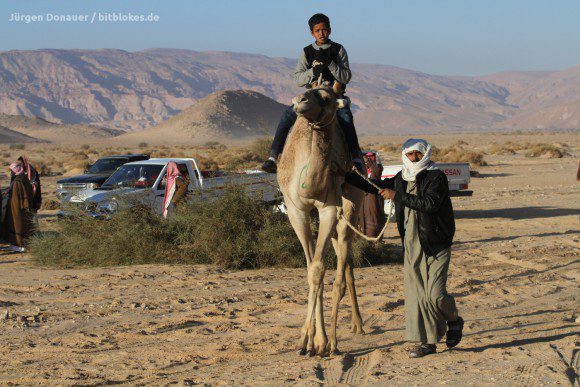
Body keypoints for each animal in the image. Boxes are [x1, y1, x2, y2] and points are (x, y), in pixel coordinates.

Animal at [278, 85, 368, 358]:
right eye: (308, 91)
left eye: (327, 98)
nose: (299, 100)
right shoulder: (295, 209)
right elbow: (311, 269)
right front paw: (309, 342)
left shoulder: (328, 208)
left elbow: (319, 269)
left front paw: (320, 342)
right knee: (343, 258)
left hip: (351, 202)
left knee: (343, 262)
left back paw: (351, 329)